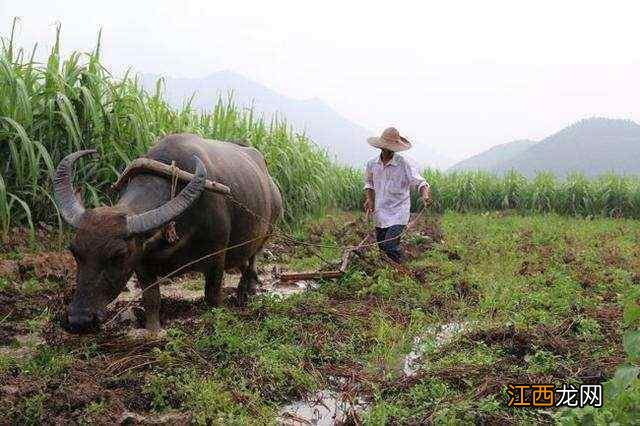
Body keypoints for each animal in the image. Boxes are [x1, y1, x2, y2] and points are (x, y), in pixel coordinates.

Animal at [55, 133, 282, 332]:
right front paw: (153, 329)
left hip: (265, 234)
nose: (79, 320)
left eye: (118, 255)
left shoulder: (217, 257)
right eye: (74, 251)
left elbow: (213, 296)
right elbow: (152, 299)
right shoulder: (142, 262)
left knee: (253, 259)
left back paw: (247, 290)